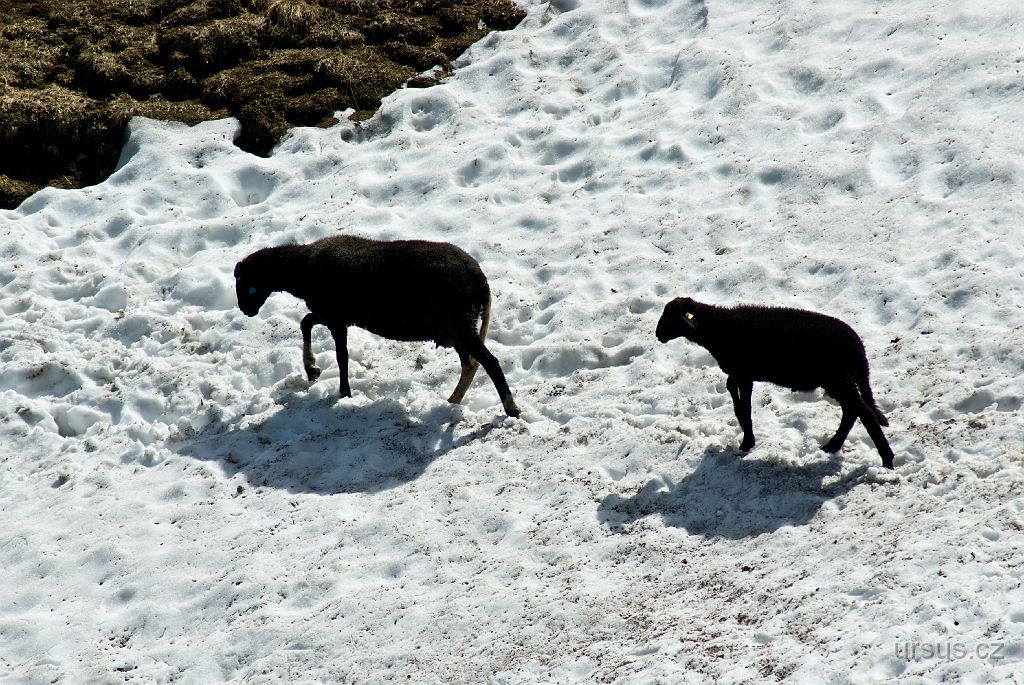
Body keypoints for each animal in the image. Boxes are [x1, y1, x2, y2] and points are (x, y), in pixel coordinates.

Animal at [233, 235, 520, 417]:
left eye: (247, 284)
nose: (246, 310)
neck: (301, 270)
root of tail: (479, 278)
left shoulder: (335, 318)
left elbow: (341, 356)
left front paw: (344, 393)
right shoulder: (333, 315)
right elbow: (306, 322)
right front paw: (312, 369)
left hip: (459, 323)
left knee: (489, 362)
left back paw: (511, 409)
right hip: (455, 328)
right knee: (470, 364)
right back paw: (453, 401)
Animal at [659, 296, 892, 471]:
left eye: (671, 317)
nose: (658, 334)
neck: (720, 327)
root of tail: (858, 347)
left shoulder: (744, 375)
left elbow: (745, 408)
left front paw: (747, 443)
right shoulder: (738, 373)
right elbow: (733, 393)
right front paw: (744, 431)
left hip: (838, 378)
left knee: (864, 412)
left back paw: (887, 459)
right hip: (838, 380)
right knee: (852, 411)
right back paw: (832, 446)